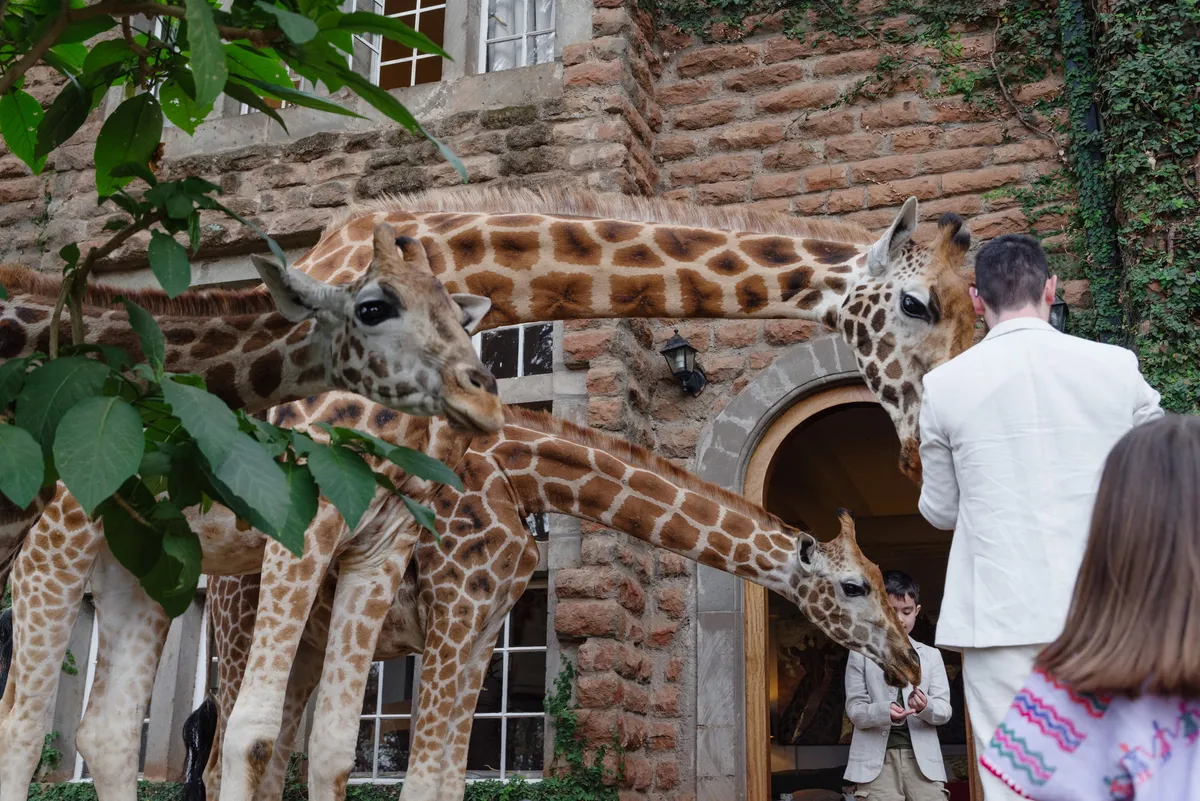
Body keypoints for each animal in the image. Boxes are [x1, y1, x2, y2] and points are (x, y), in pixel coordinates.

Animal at [0, 228, 503, 801]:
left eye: (461, 320)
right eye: (373, 308)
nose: (482, 395)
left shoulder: (380, 549)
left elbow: (334, 746)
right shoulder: (304, 528)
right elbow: (254, 733)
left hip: (137, 567)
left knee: (108, 730)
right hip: (49, 549)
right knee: (22, 723)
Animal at [204, 407, 920, 801]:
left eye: (882, 579)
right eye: (854, 586)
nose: (912, 661)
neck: (524, 478)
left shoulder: (481, 626)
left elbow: (447, 781)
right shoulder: (454, 610)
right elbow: (421, 779)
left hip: (309, 644)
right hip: (245, 619)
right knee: (221, 760)